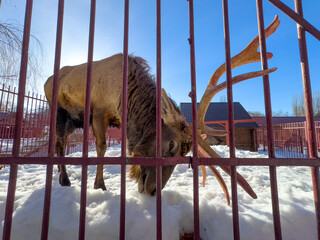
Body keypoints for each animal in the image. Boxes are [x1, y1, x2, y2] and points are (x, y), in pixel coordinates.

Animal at [44, 15, 280, 202]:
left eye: (186, 153)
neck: (125, 96)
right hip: (58, 111)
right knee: (59, 141)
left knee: (60, 142)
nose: (153, 190)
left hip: (73, 119)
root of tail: (46, 81)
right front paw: (99, 185)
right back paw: (64, 179)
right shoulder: (99, 112)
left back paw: (61, 175)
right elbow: (101, 147)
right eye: (171, 144)